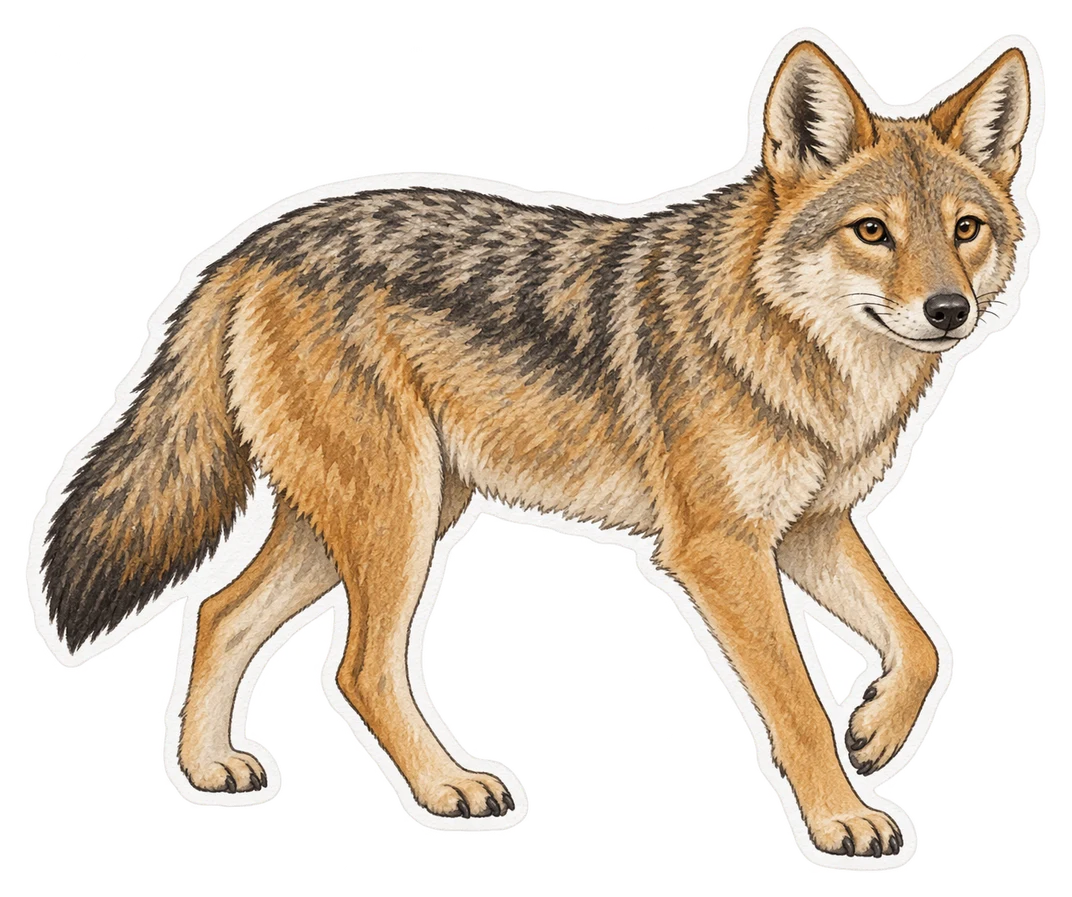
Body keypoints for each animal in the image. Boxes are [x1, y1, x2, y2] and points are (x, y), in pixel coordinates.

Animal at [38, 40, 1032, 856]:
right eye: (873, 232)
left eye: (965, 230)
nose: (949, 310)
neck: (809, 357)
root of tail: (248, 249)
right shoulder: (720, 549)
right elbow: (798, 698)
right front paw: (841, 818)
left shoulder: (809, 529)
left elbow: (923, 645)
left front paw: (878, 730)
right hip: (395, 522)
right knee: (357, 667)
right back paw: (447, 787)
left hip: (374, 520)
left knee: (218, 612)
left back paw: (209, 771)